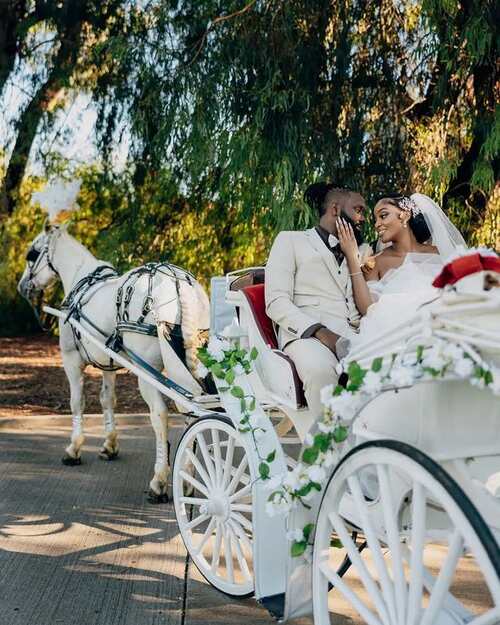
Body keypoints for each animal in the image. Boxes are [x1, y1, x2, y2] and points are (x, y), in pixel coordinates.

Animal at [18, 221, 210, 502]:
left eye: (31, 254)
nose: (22, 286)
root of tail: (178, 283)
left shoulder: (71, 359)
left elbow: (77, 402)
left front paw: (74, 448)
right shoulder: (108, 363)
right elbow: (108, 400)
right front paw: (109, 445)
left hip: (148, 370)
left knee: (161, 415)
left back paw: (160, 481)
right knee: (192, 409)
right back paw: (187, 479)